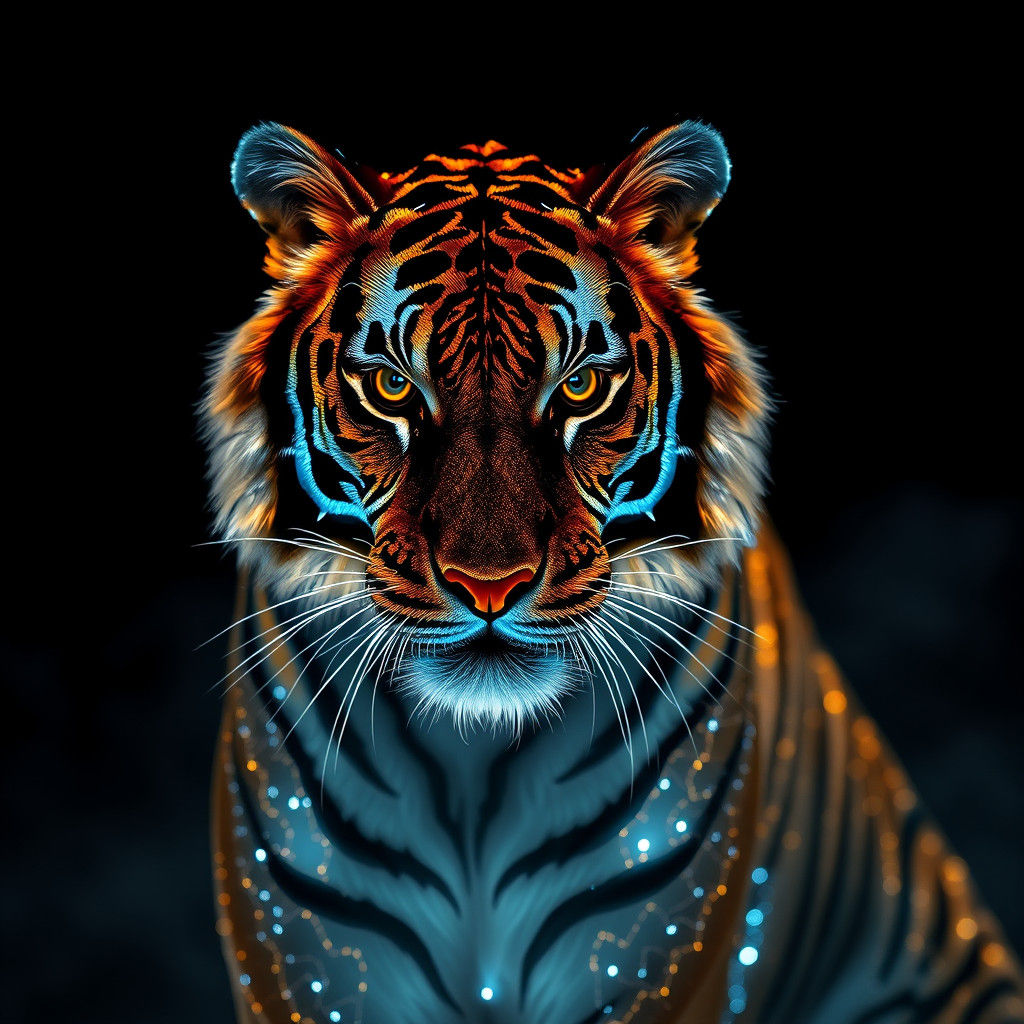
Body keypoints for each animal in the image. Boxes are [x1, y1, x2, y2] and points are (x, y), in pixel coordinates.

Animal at [203, 121, 1024, 1024]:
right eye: (389, 387)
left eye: (582, 389)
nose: (488, 586)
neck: (473, 778)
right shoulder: (307, 969)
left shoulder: (664, 960)